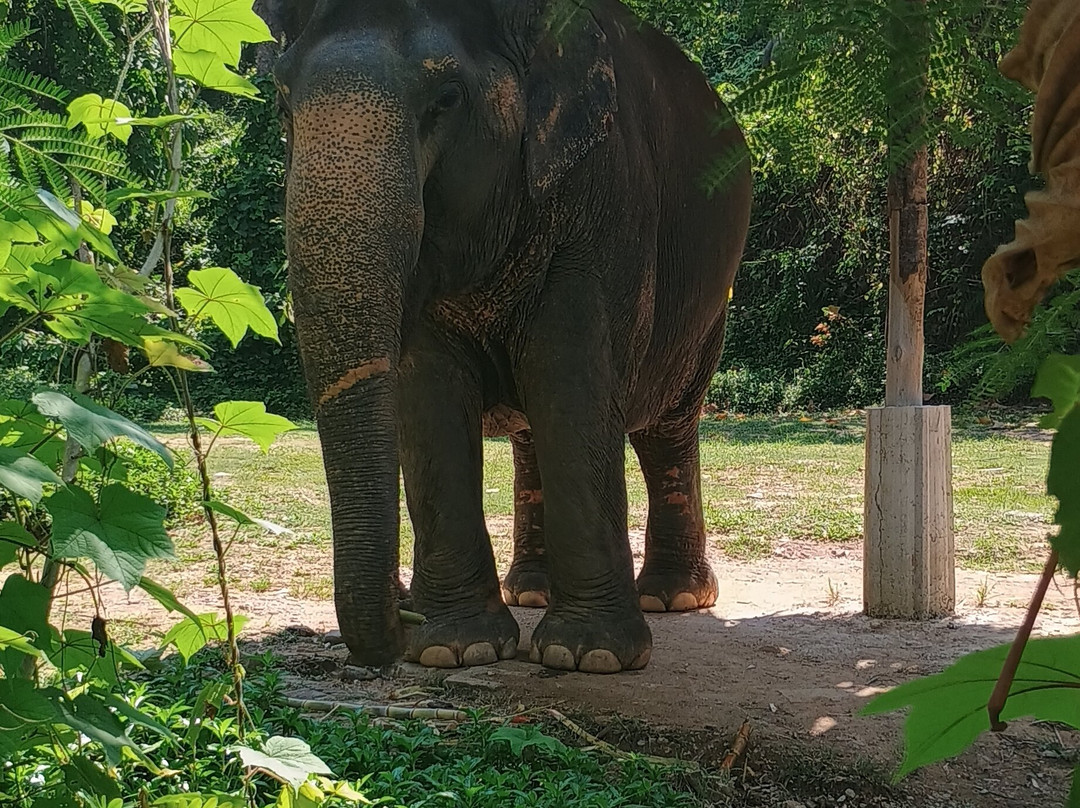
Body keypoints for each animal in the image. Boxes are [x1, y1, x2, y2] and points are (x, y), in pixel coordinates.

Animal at [258, 0, 752, 673]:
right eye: (282, 105)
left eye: (446, 98)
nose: (401, 613)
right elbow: (428, 393)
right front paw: (454, 648)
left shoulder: (605, 194)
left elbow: (570, 375)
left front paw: (586, 656)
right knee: (531, 433)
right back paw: (532, 591)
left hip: (706, 308)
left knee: (665, 425)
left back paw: (672, 598)